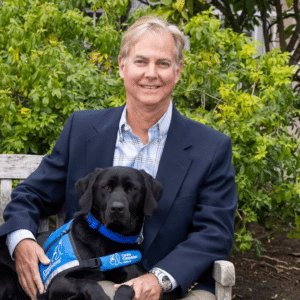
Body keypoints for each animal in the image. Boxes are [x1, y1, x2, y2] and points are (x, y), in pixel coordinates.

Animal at [0, 168, 162, 298]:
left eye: (133, 189)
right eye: (106, 187)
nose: (117, 208)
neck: (108, 238)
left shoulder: (132, 278)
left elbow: (127, 287)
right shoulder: (58, 281)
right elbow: (90, 284)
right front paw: (101, 297)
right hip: (7, 282)